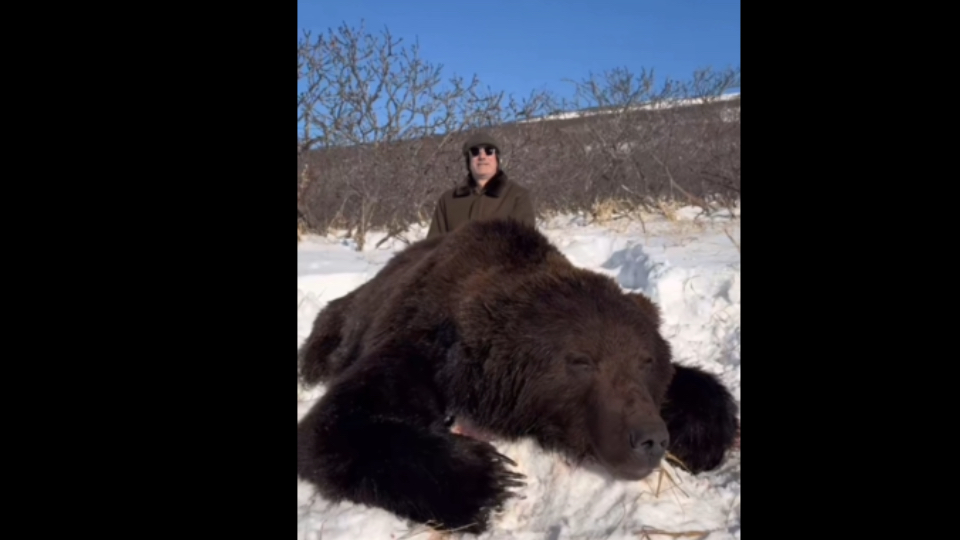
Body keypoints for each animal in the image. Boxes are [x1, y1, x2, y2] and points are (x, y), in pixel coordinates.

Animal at [296, 218, 738, 535]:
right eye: (581, 361)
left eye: (645, 361)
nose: (649, 438)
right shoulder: (418, 349)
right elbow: (336, 424)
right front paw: (492, 481)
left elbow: (695, 385)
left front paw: (701, 435)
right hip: (337, 325)